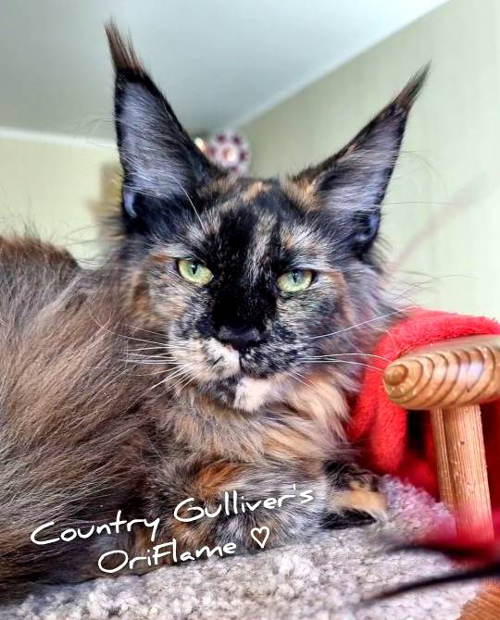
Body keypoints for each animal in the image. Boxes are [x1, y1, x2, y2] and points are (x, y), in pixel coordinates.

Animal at [0, 23, 427, 601]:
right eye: (195, 270)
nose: (238, 335)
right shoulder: (153, 517)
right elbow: (293, 503)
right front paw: (350, 494)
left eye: (294, 279)